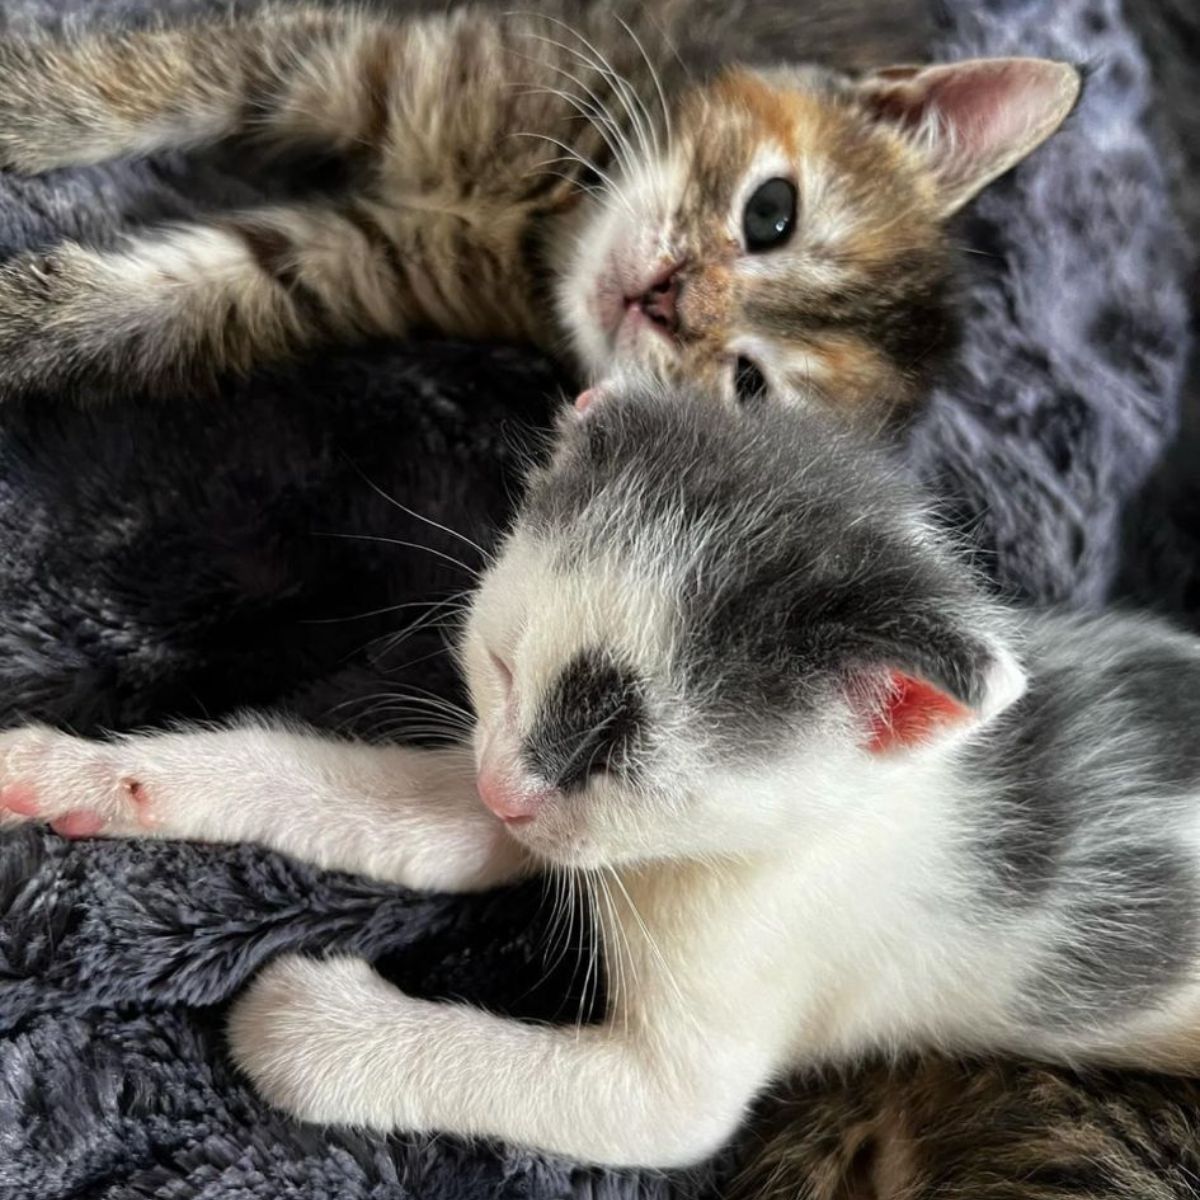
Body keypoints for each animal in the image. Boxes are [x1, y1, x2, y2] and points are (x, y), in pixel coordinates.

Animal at [0, 1, 1080, 422]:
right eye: (772, 212)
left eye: (748, 385)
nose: (667, 298)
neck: (546, 211)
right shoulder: (358, 62)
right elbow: (156, 79)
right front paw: (25, 104)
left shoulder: (360, 262)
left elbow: (187, 289)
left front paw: (26, 322)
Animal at [2, 381, 1200, 1161]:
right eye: (498, 668)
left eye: (624, 761)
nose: (506, 792)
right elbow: (403, 821)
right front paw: (81, 774)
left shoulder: (698, 1052)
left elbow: (631, 1108)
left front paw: (305, 1028)